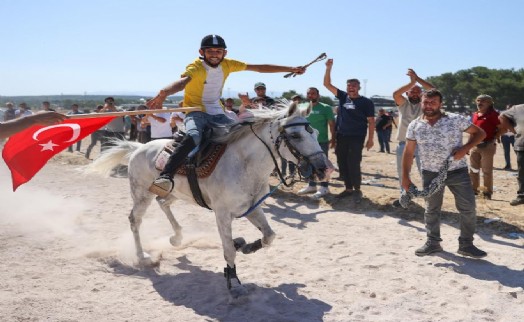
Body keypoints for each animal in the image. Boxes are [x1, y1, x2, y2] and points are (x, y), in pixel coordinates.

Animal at [88, 102, 330, 294]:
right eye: (296, 136)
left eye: (317, 133)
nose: (324, 168)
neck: (243, 164)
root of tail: (139, 147)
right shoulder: (222, 214)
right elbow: (228, 250)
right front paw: (235, 282)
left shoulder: (252, 207)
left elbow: (269, 235)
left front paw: (246, 246)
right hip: (141, 194)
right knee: (135, 220)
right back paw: (142, 256)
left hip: (174, 193)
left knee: (163, 204)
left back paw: (177, 237)